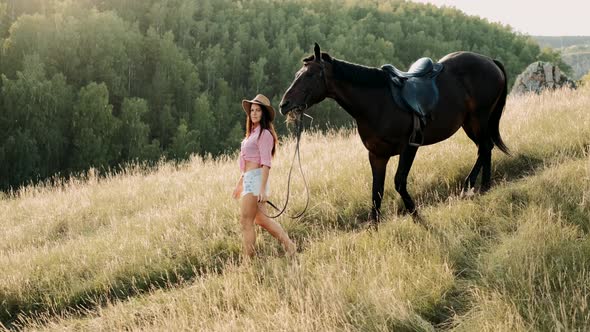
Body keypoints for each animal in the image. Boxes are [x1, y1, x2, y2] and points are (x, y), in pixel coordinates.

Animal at [280, 43, 512, 220]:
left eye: (310, 75)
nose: (284, 104)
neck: (378, 103)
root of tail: (490, 61)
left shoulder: (409, 148)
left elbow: (399, 182)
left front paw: (417, 216)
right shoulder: (377, 155)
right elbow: (377, 192)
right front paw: (374, 228)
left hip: (478, 119)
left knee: (485, 147)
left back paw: (470, 186)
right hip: (470, 123)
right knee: (486, 148)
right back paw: (484, 186)